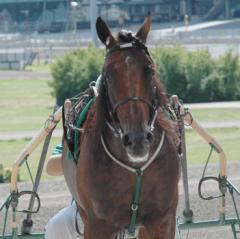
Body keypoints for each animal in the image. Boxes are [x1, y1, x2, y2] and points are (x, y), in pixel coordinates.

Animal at [76, 15, 179, 238]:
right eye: (108, 74)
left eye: (150, 70)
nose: (137, 139)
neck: (135, 168)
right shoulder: (97, 224)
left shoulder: (162, 220)